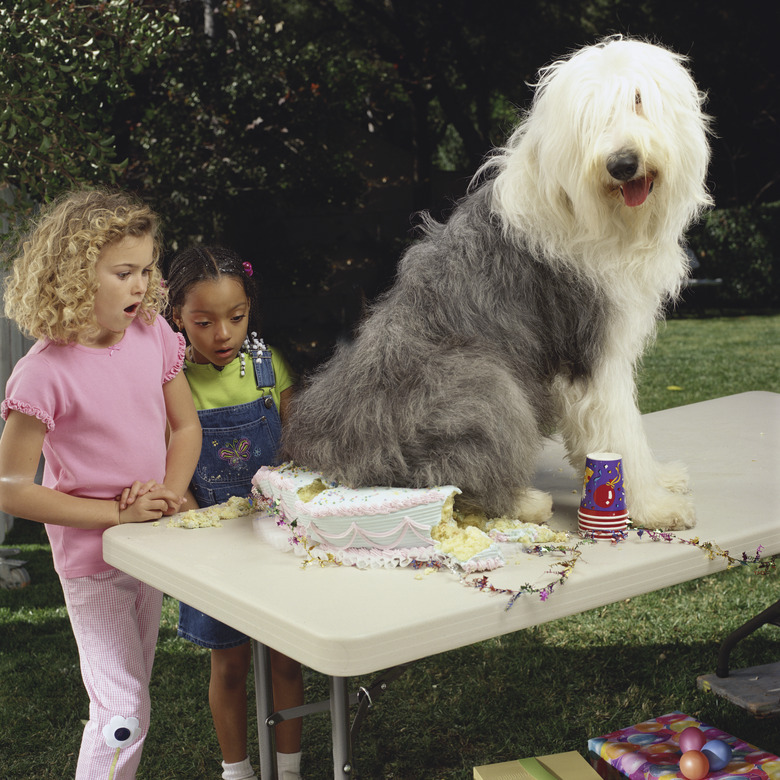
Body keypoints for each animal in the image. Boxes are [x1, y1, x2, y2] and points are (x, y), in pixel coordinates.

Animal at [282, 35, 712, 532]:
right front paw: (653, 506)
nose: (622, 164)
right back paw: (525, 502)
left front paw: (663, 480)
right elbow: (619, 432)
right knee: (448, 477)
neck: (588, 210)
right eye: (588, 119)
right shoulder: (590, 350)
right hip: (481, 381)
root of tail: (331, 447)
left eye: (638, 100)